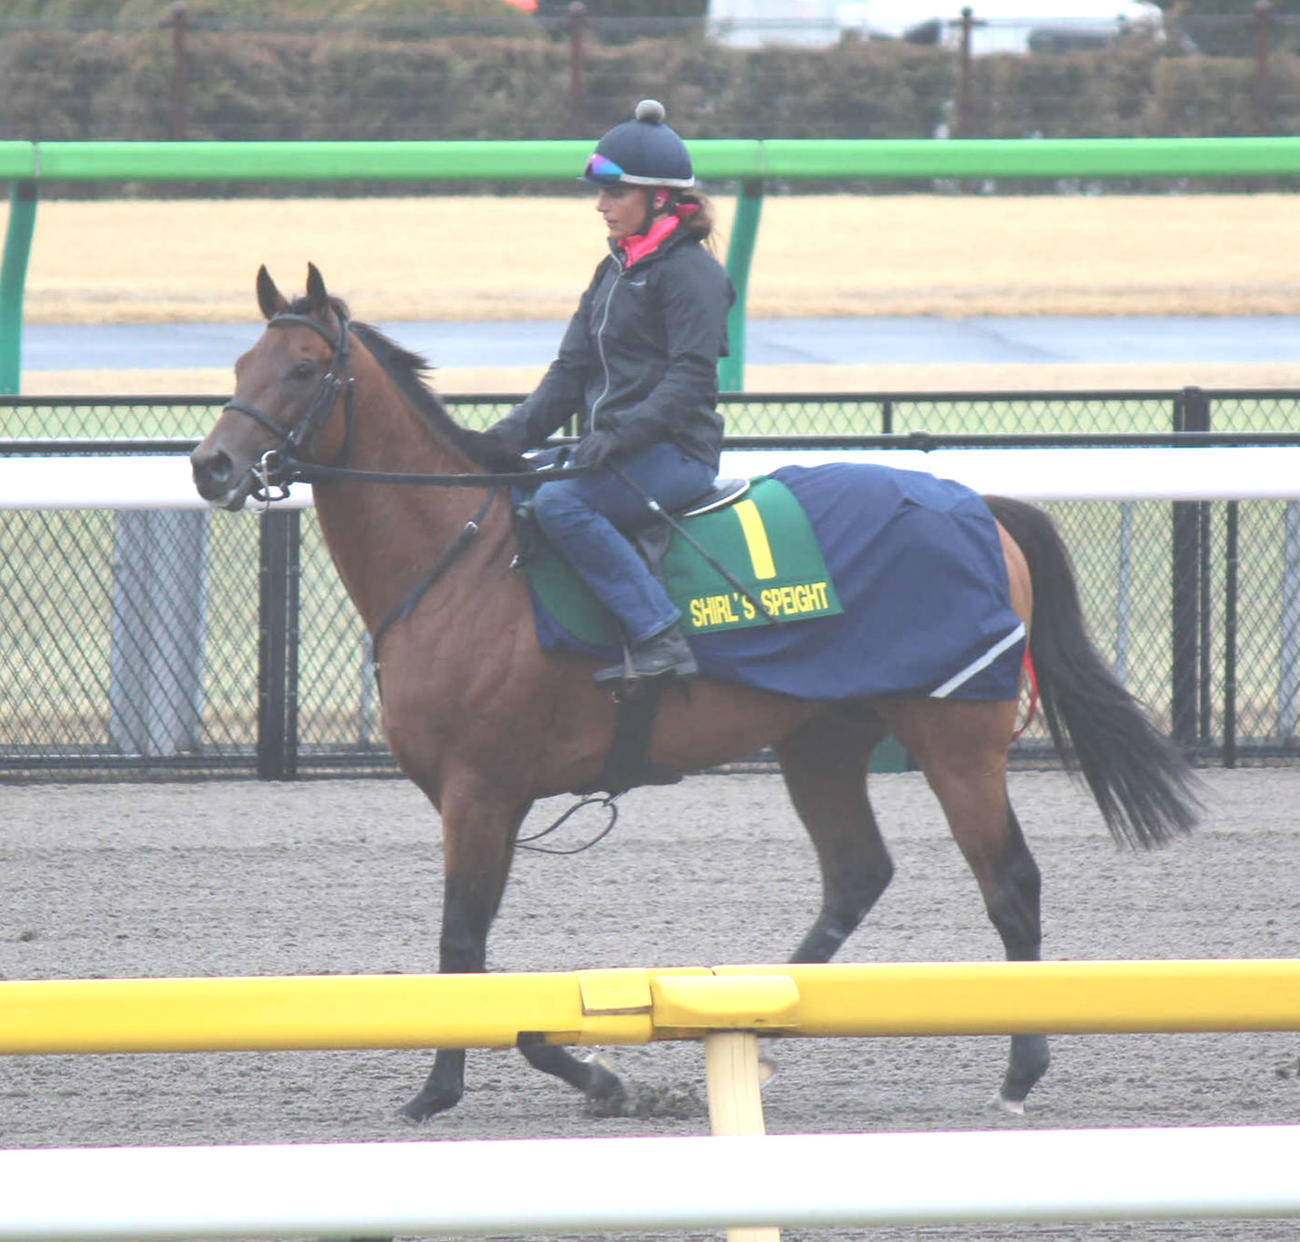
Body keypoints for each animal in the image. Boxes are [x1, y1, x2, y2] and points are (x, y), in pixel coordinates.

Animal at [191, 264, 1200, 1123]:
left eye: (304, 367)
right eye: (240, 363)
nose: (212, 466)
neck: (460, 561)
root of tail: (984, 507)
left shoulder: (482, 790)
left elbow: (462, 947)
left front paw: (447, 1089)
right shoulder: (482, 797)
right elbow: (481, 956)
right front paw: (598, 1072)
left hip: (957, 740)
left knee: (1011, 885)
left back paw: (1021, 1069)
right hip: (822, 739)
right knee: (856, 875)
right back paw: (767, 1030)